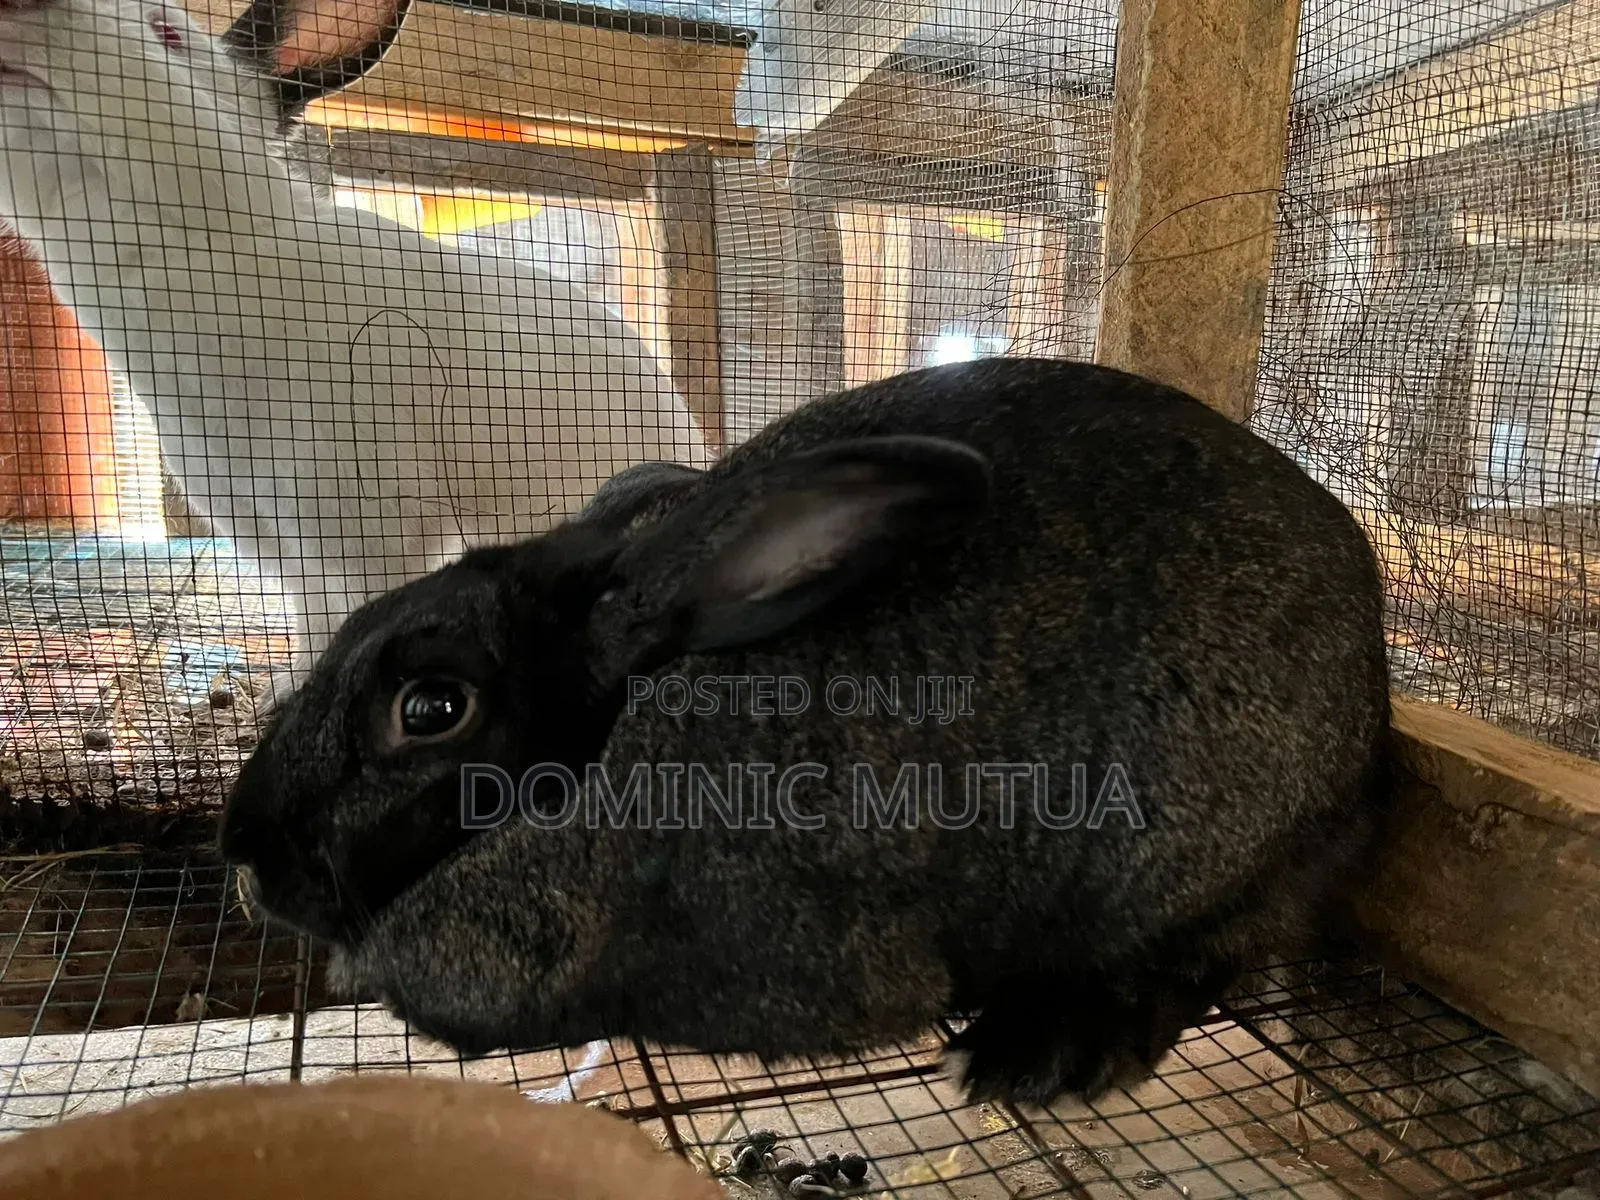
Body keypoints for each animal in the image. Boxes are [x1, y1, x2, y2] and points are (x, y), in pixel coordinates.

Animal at [218, 356, 1394, 1106]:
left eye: (431, 709)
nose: (243, 852)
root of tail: (1374, 728)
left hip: (1193, 855)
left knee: (1211, 952)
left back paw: (1040, 1055)